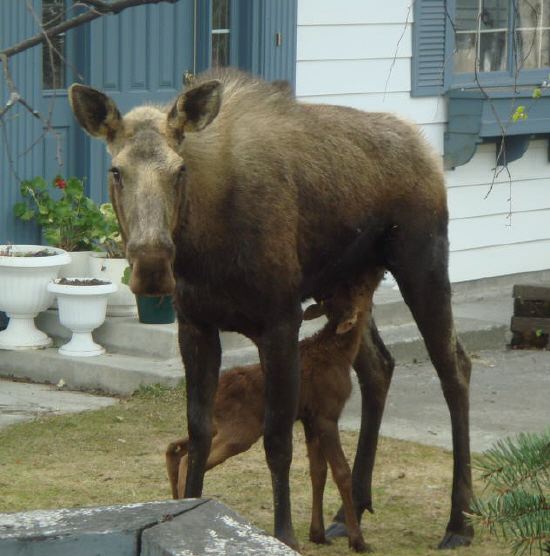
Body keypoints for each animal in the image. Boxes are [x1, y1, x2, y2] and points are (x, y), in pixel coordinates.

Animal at [166, 278, 384, 552]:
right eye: (359, 292)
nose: (373, 281)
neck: (341, 354)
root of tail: (219, 392)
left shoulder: (308, 417)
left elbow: (318, 472)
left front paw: (318, 534)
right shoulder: (327, 412)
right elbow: (341, 472)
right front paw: (357, 540)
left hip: (224, 425)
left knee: (175, 447)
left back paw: (175, 499)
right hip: (242, 430)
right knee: (188, 455)